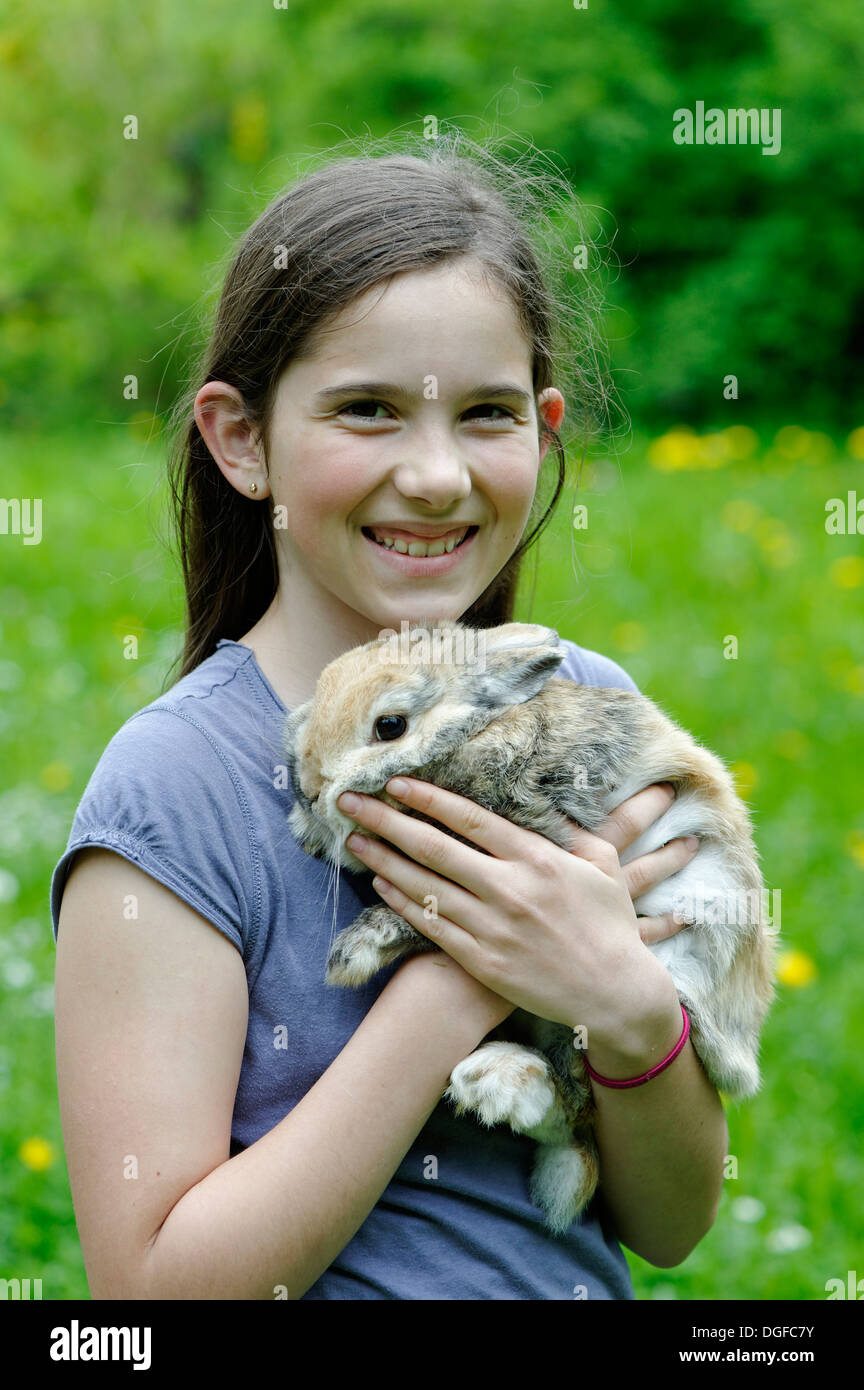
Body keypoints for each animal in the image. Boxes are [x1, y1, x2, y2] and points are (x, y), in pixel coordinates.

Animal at [284, 625, 777, 1234]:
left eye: (390, 726)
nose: (308, 788)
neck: (474, 734)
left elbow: (419, 918)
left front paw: (355, 952)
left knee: (576, 1104)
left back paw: (500, 1082)